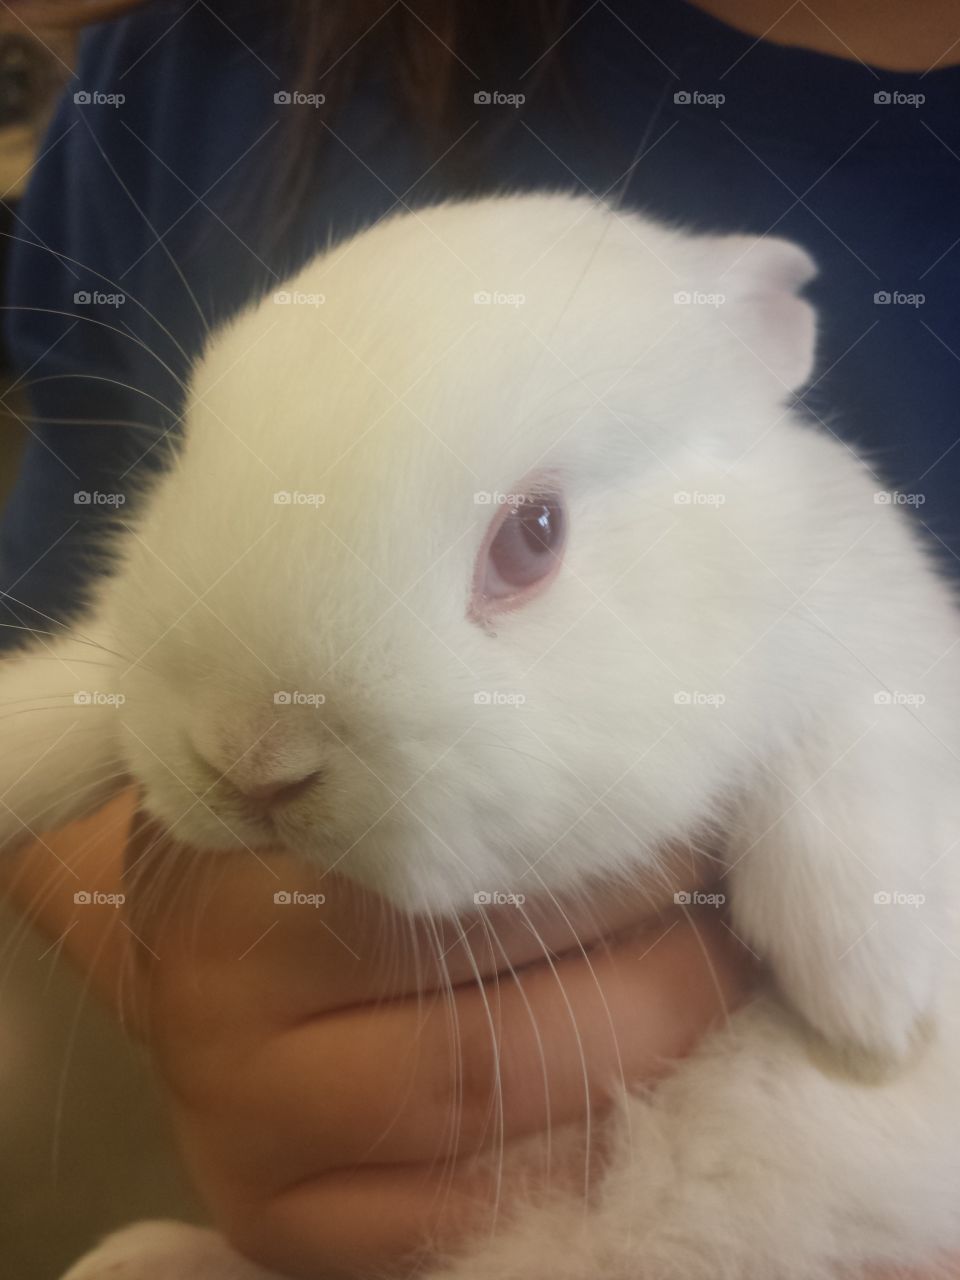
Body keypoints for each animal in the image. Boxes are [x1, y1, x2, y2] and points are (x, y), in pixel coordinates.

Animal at [4, 194, 959, 1279]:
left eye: (533, 535)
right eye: (188, 451)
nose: (253, 759)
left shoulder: (868, 635)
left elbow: (843, 769)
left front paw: (874, 1015)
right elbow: (63, 704)